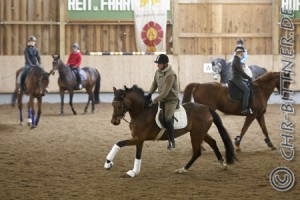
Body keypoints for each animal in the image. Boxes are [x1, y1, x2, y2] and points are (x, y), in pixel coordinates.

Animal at [103, 84, 237, 177]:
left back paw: (183, 169)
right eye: (112, 104)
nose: (114, 122)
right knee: (213, 143)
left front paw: (133, 172)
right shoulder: (135, 138)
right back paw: (222, 164)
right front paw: (108, 163)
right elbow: (118, 143)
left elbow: (137, 154)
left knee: (197, 152)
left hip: (196, 134)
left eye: (119, 105)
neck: (142, 112)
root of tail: (206, 108)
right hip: (200, 133)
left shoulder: (139, 139)